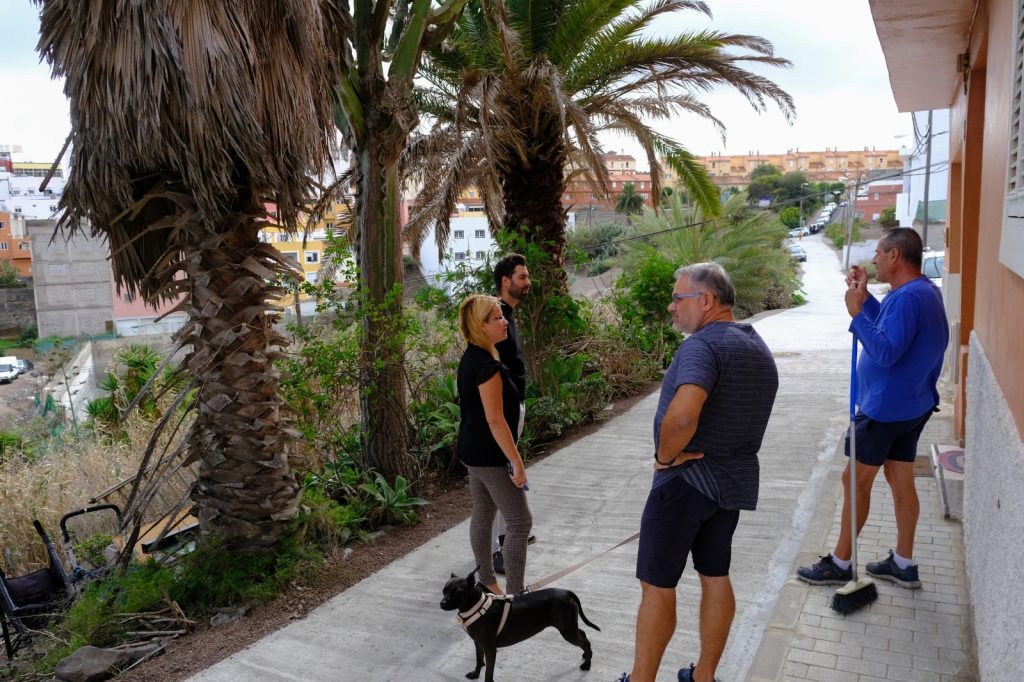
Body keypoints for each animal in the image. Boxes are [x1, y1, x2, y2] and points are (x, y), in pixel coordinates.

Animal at [440, 569, 598, 679]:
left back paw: (587, 663)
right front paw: (475, 674)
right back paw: (585, 655)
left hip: (567, 630)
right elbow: (479, 660)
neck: (478, 607)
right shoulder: (478, 643)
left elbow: (489, 673)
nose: (442, 604)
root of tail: (566, 592)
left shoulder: (490, 649)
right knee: (583, 634)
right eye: (444, 590)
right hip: (570, 626)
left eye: (458, 592)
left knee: (585, 641)